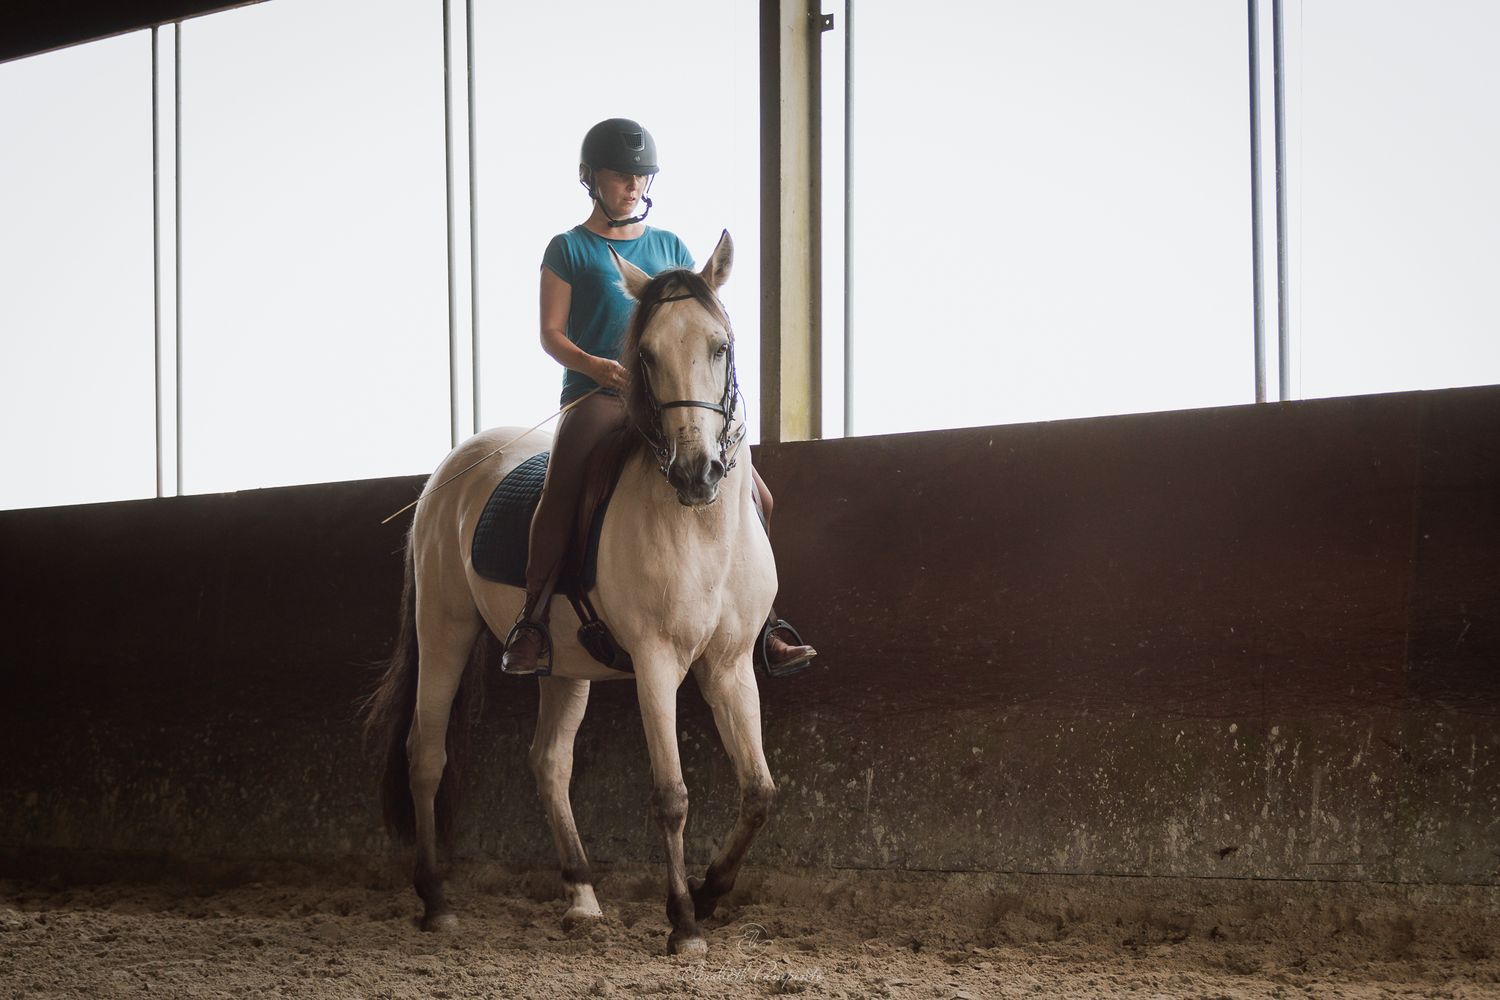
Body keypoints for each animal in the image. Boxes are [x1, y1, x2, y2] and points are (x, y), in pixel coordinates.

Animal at [363, 231, 779, 958]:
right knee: (425, 754)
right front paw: (684, 922)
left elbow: (757, 790)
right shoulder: (656, 660)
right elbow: (671, 794)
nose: (697, 473)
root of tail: (448, 472)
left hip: (562, 663)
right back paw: (437, 900)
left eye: (720, 345)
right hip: (444, 628)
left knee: (549, 762)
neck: (704, 526)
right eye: (645, 354)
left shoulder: (728, 665)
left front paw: (708, 893)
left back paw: (582, 896)